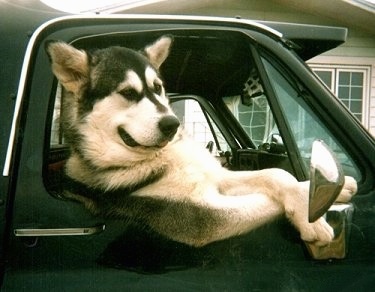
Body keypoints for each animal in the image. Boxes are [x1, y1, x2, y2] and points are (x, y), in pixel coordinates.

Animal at [44, 35, 358, 248]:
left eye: (158, 88)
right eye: (128, 93)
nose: (172, 124)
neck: (162, 159)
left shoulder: (217, 178)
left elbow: (276, 174)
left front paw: (328, 189)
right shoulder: (199, 218)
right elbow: (266, 198)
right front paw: (310, 215)